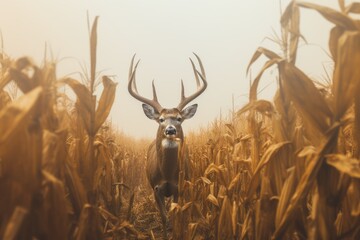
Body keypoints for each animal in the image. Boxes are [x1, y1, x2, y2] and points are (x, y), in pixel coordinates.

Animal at [127, 53, 207, 238]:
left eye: (179, 119)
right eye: (161, 119)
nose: (170, 130)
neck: (167, 173)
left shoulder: (179, 187)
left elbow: (175, 215)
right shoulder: (156, 188)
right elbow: (164, 217)